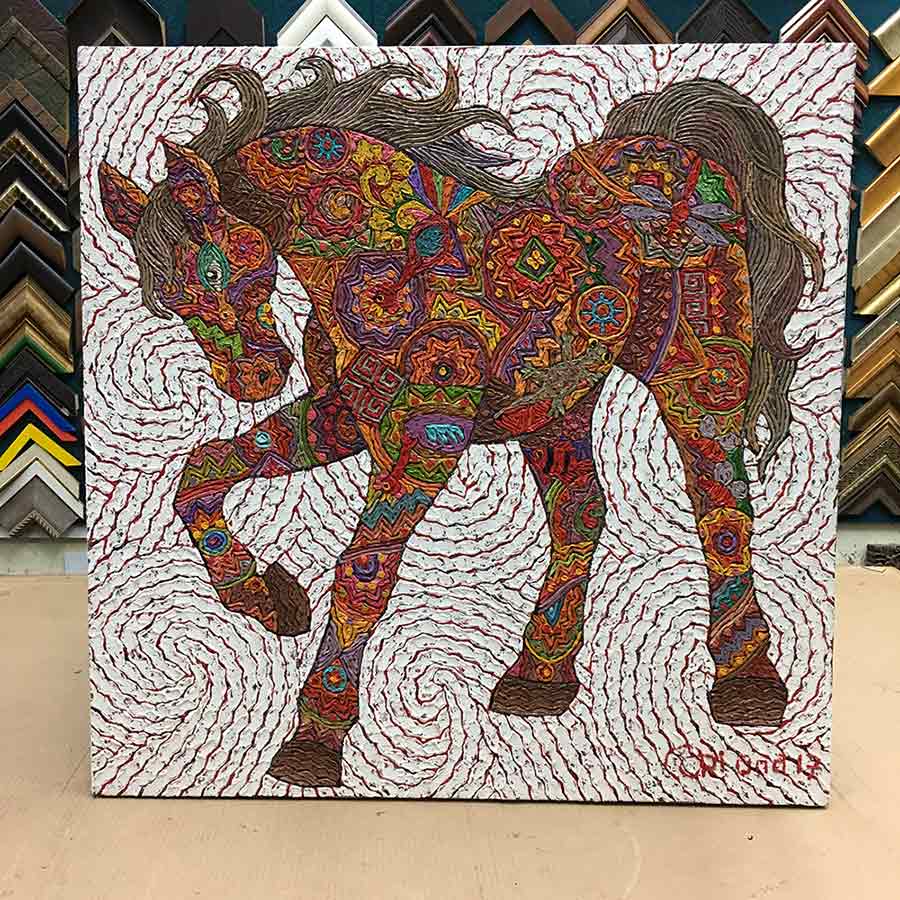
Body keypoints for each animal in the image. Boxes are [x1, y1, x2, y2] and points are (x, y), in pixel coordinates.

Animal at [97, 58, 822, 788]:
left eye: (215, 266)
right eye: (170, 298)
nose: (252, 379)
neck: (385, 250)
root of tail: (682, 147)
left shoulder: (425, 441)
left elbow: (361, 573)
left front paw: (315, 738)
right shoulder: (345, 416)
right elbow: (202, 470)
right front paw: (265, 598)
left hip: (695, 375)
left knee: (721, 506)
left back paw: (747, 681)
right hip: (554, 405)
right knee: (582, 510)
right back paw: (540, 675)